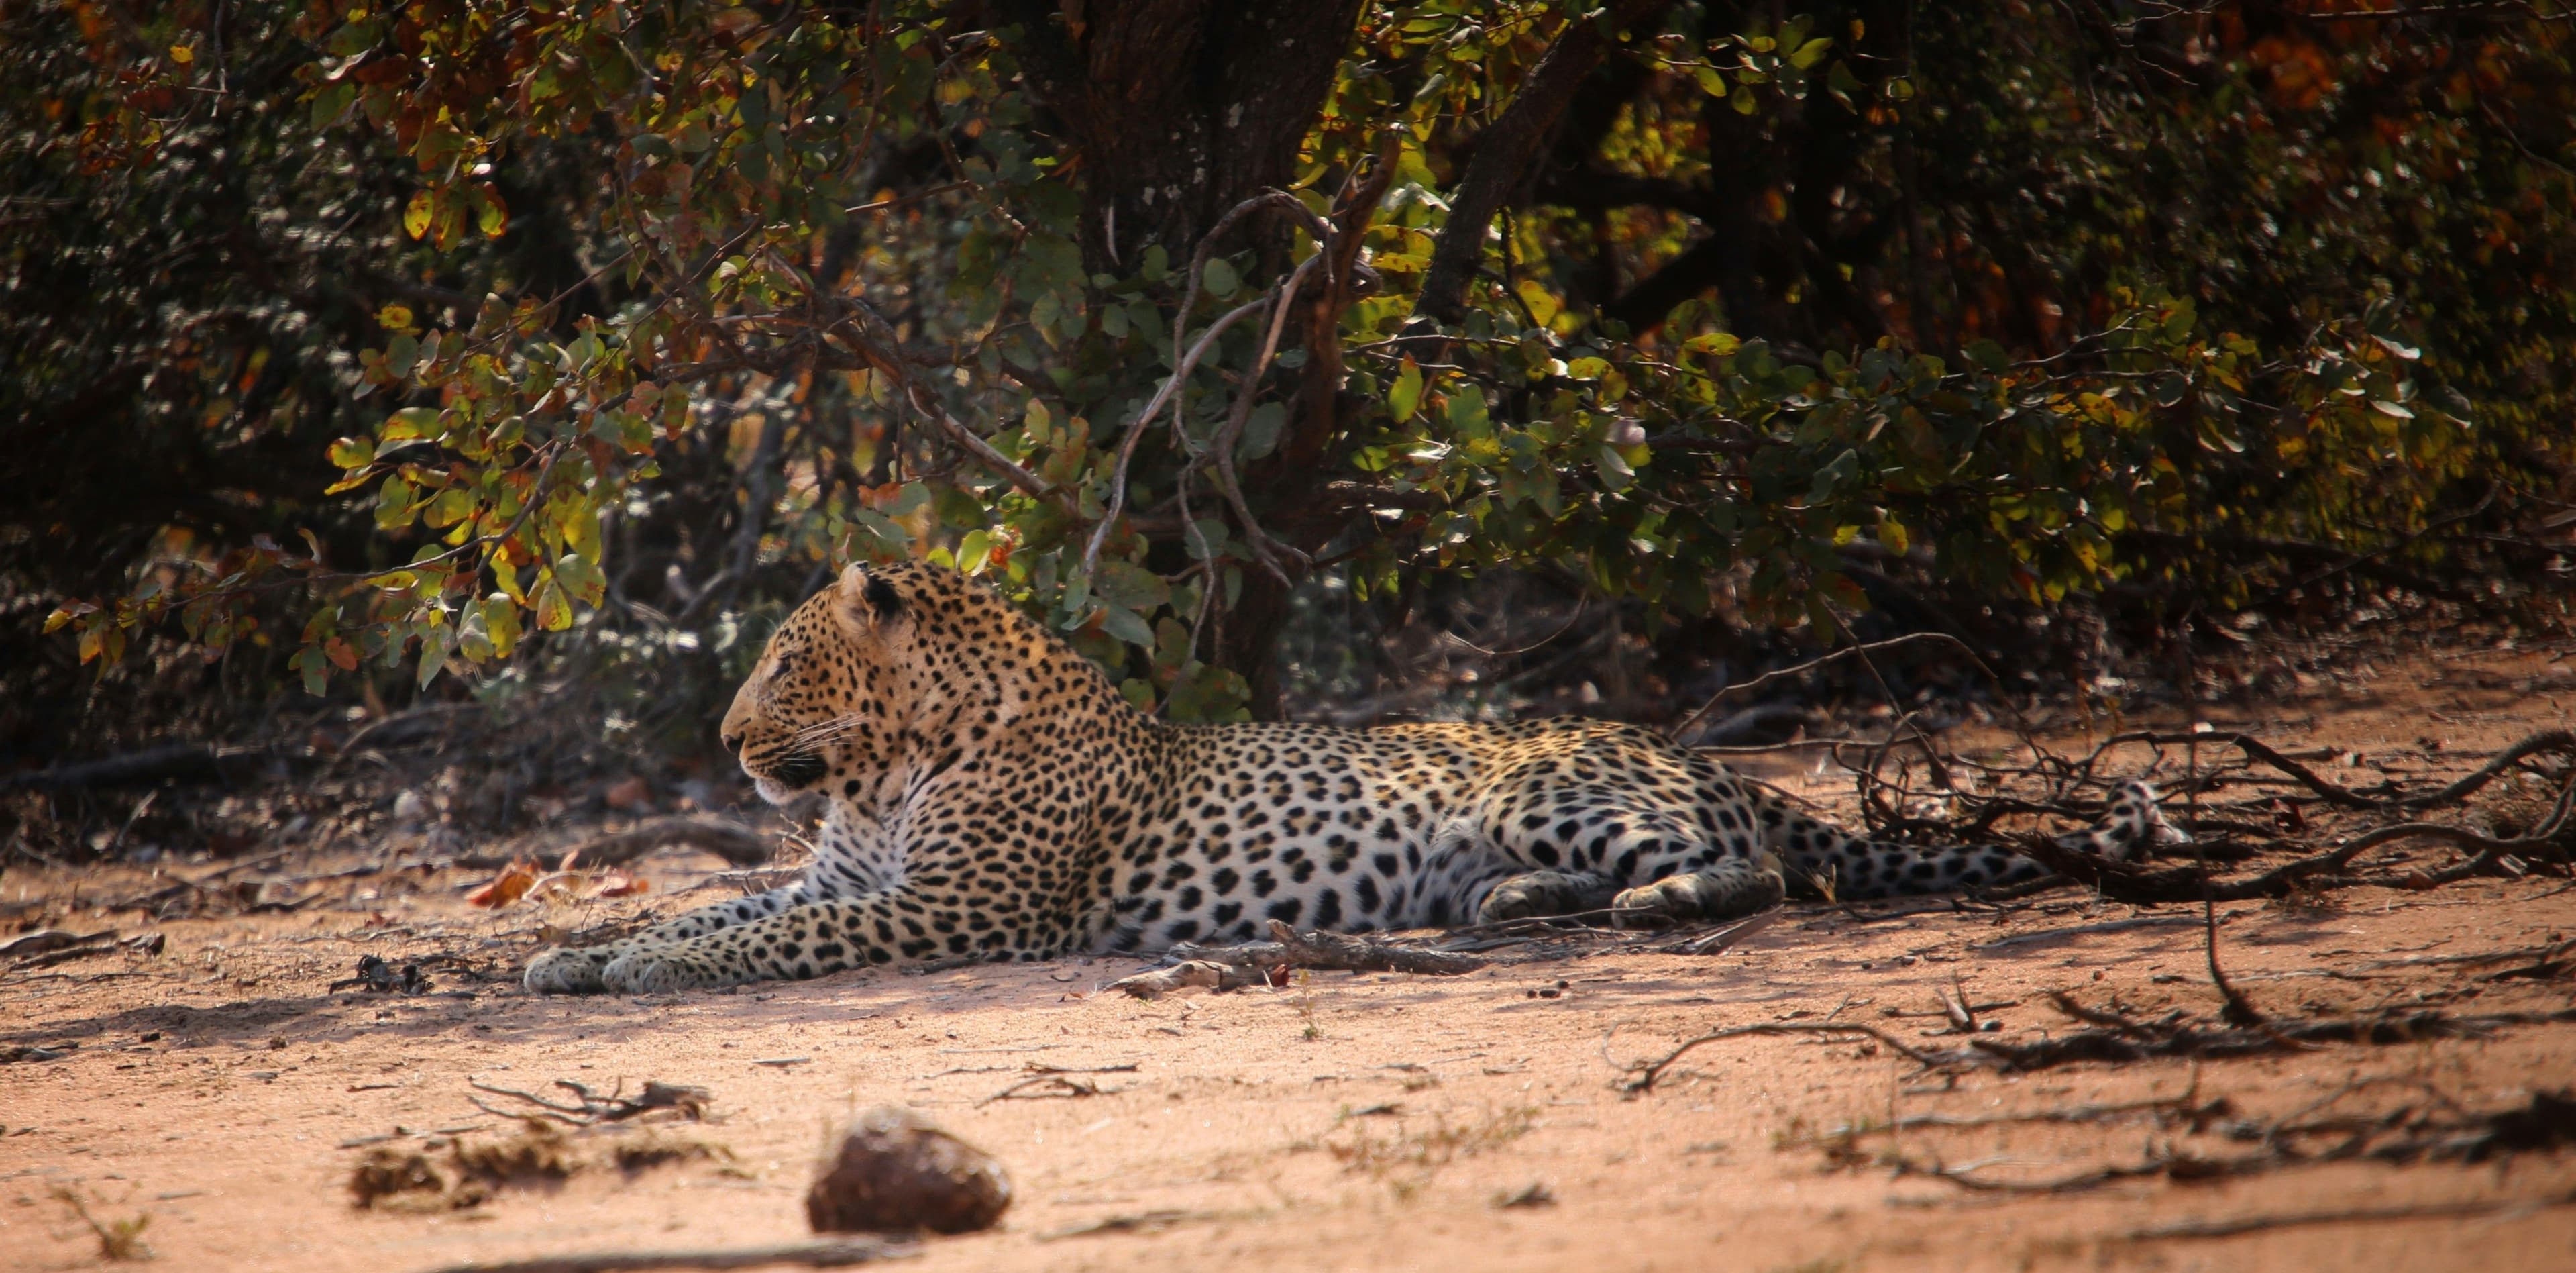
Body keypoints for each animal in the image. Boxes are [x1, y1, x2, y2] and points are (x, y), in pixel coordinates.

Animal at [523, 561, 2182, 995]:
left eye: (786, 663)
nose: (726, 743)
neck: (878, 775)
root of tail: (1690, 748)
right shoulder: (849, 872)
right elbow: (715, 910)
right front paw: (578, 953)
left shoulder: (955, 909)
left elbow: (780, 934)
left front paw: (627, 972)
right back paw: (1513, 909)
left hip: (1548, 783)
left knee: (1759, 867)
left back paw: (1649, 908)